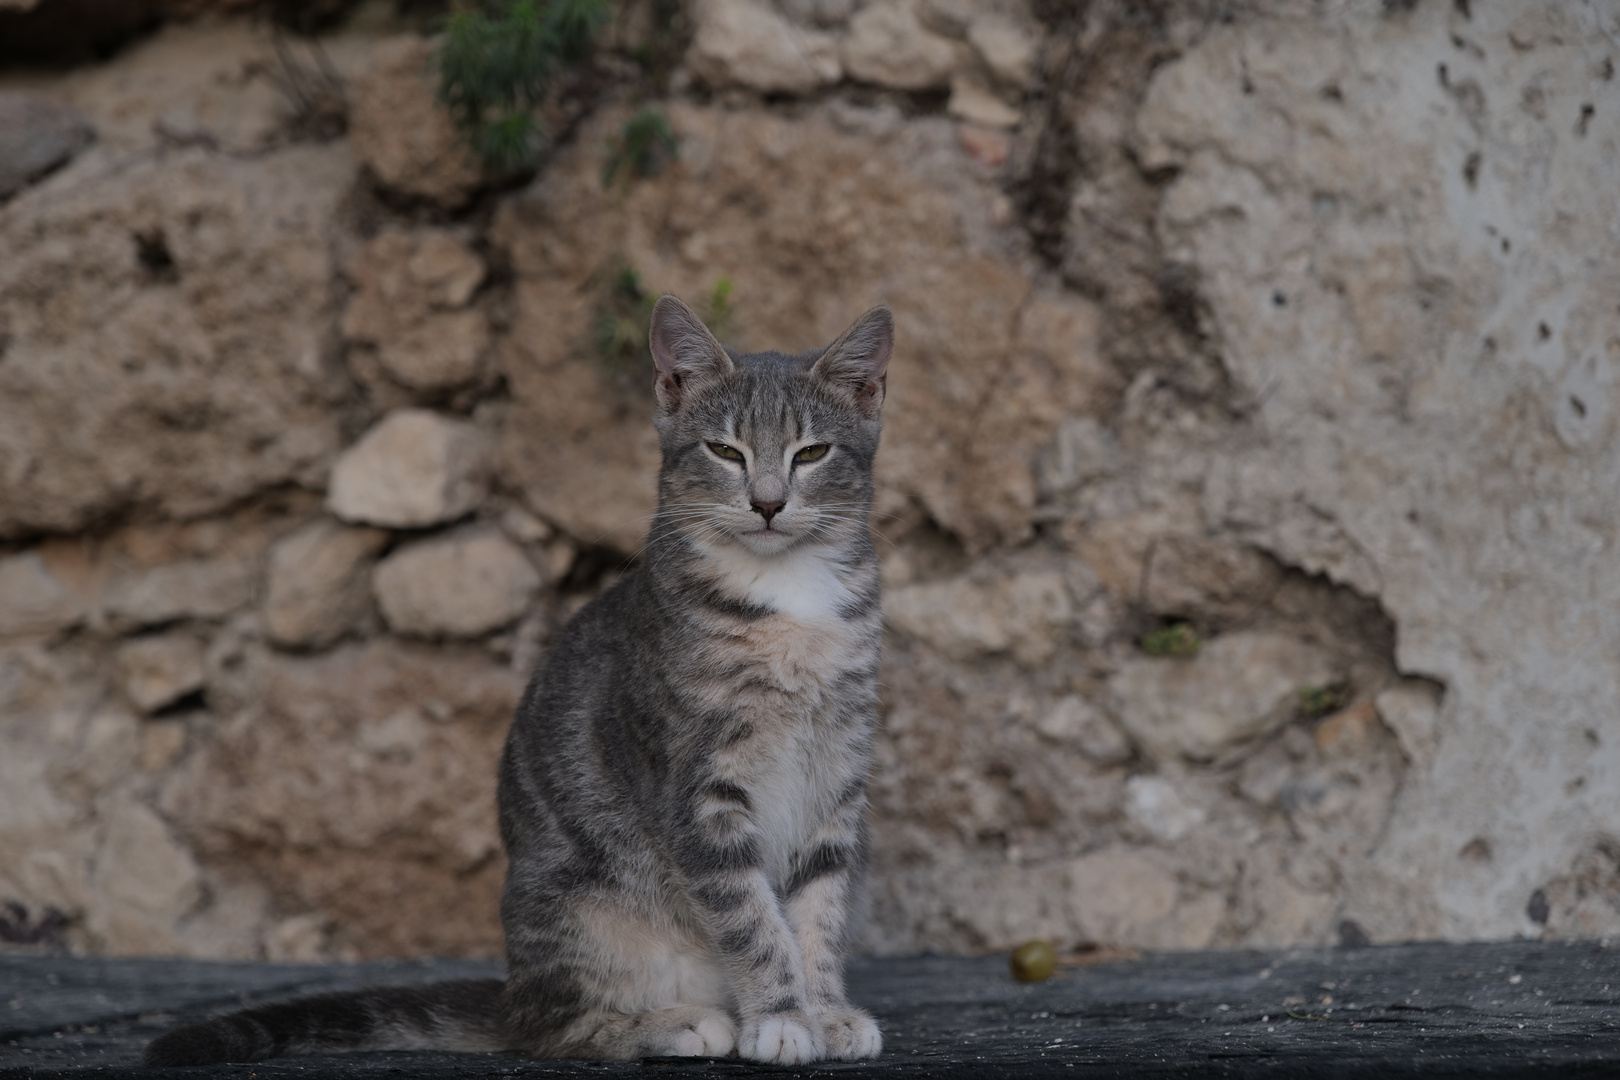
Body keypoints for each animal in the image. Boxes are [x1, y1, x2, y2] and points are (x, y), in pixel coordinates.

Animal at [144, 297, 894, 1075]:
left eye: (810, 454)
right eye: (725, 452)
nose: (768, 502)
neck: (786, 600)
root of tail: (514, 989)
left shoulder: (836, 777)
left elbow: (819, 909)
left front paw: (825, 1010)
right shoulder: (698, 788)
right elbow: (750, 915)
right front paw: (781, 1018)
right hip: (579, 909)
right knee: (555, 1029)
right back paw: (673, 1022)